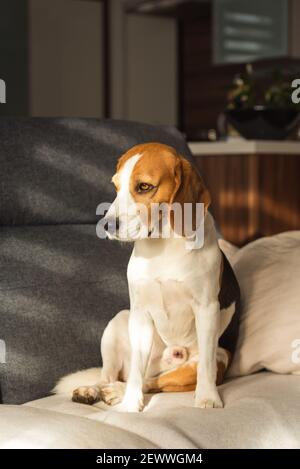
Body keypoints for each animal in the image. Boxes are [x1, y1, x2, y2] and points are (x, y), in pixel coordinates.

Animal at [55, 142, 240, 410]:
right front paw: (131, 404)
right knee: (118, 375)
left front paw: (207, 398)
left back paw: (117, 391)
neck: (165, 244)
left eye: (144, 186)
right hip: (119, 321)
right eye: (116, 187)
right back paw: (97, 390)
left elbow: (205, 369)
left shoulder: (207, 309)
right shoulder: (141, 312)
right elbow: (135, 374)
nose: (107, 225)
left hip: (217, 357)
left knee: (156, 380)